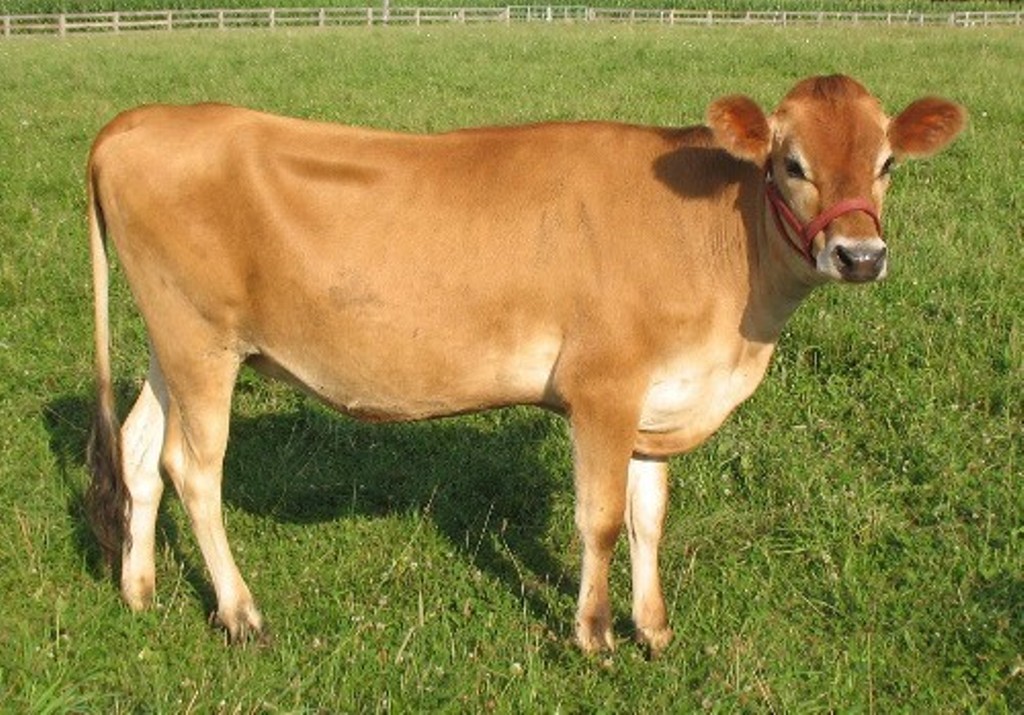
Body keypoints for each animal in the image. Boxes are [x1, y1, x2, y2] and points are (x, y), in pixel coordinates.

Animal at [85, 75, 965, 654]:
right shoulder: (603, 387)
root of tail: (137, 121)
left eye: (887, 163)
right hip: (199, 340)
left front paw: (654, 628)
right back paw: (240, 611)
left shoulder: (658, 396)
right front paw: (594, 634)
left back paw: (138, 589)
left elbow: (650, 515)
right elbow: (601, 518)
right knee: (195, 468)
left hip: (175, 343)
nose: (860, 255)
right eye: (791, 164)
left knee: (139, 448)